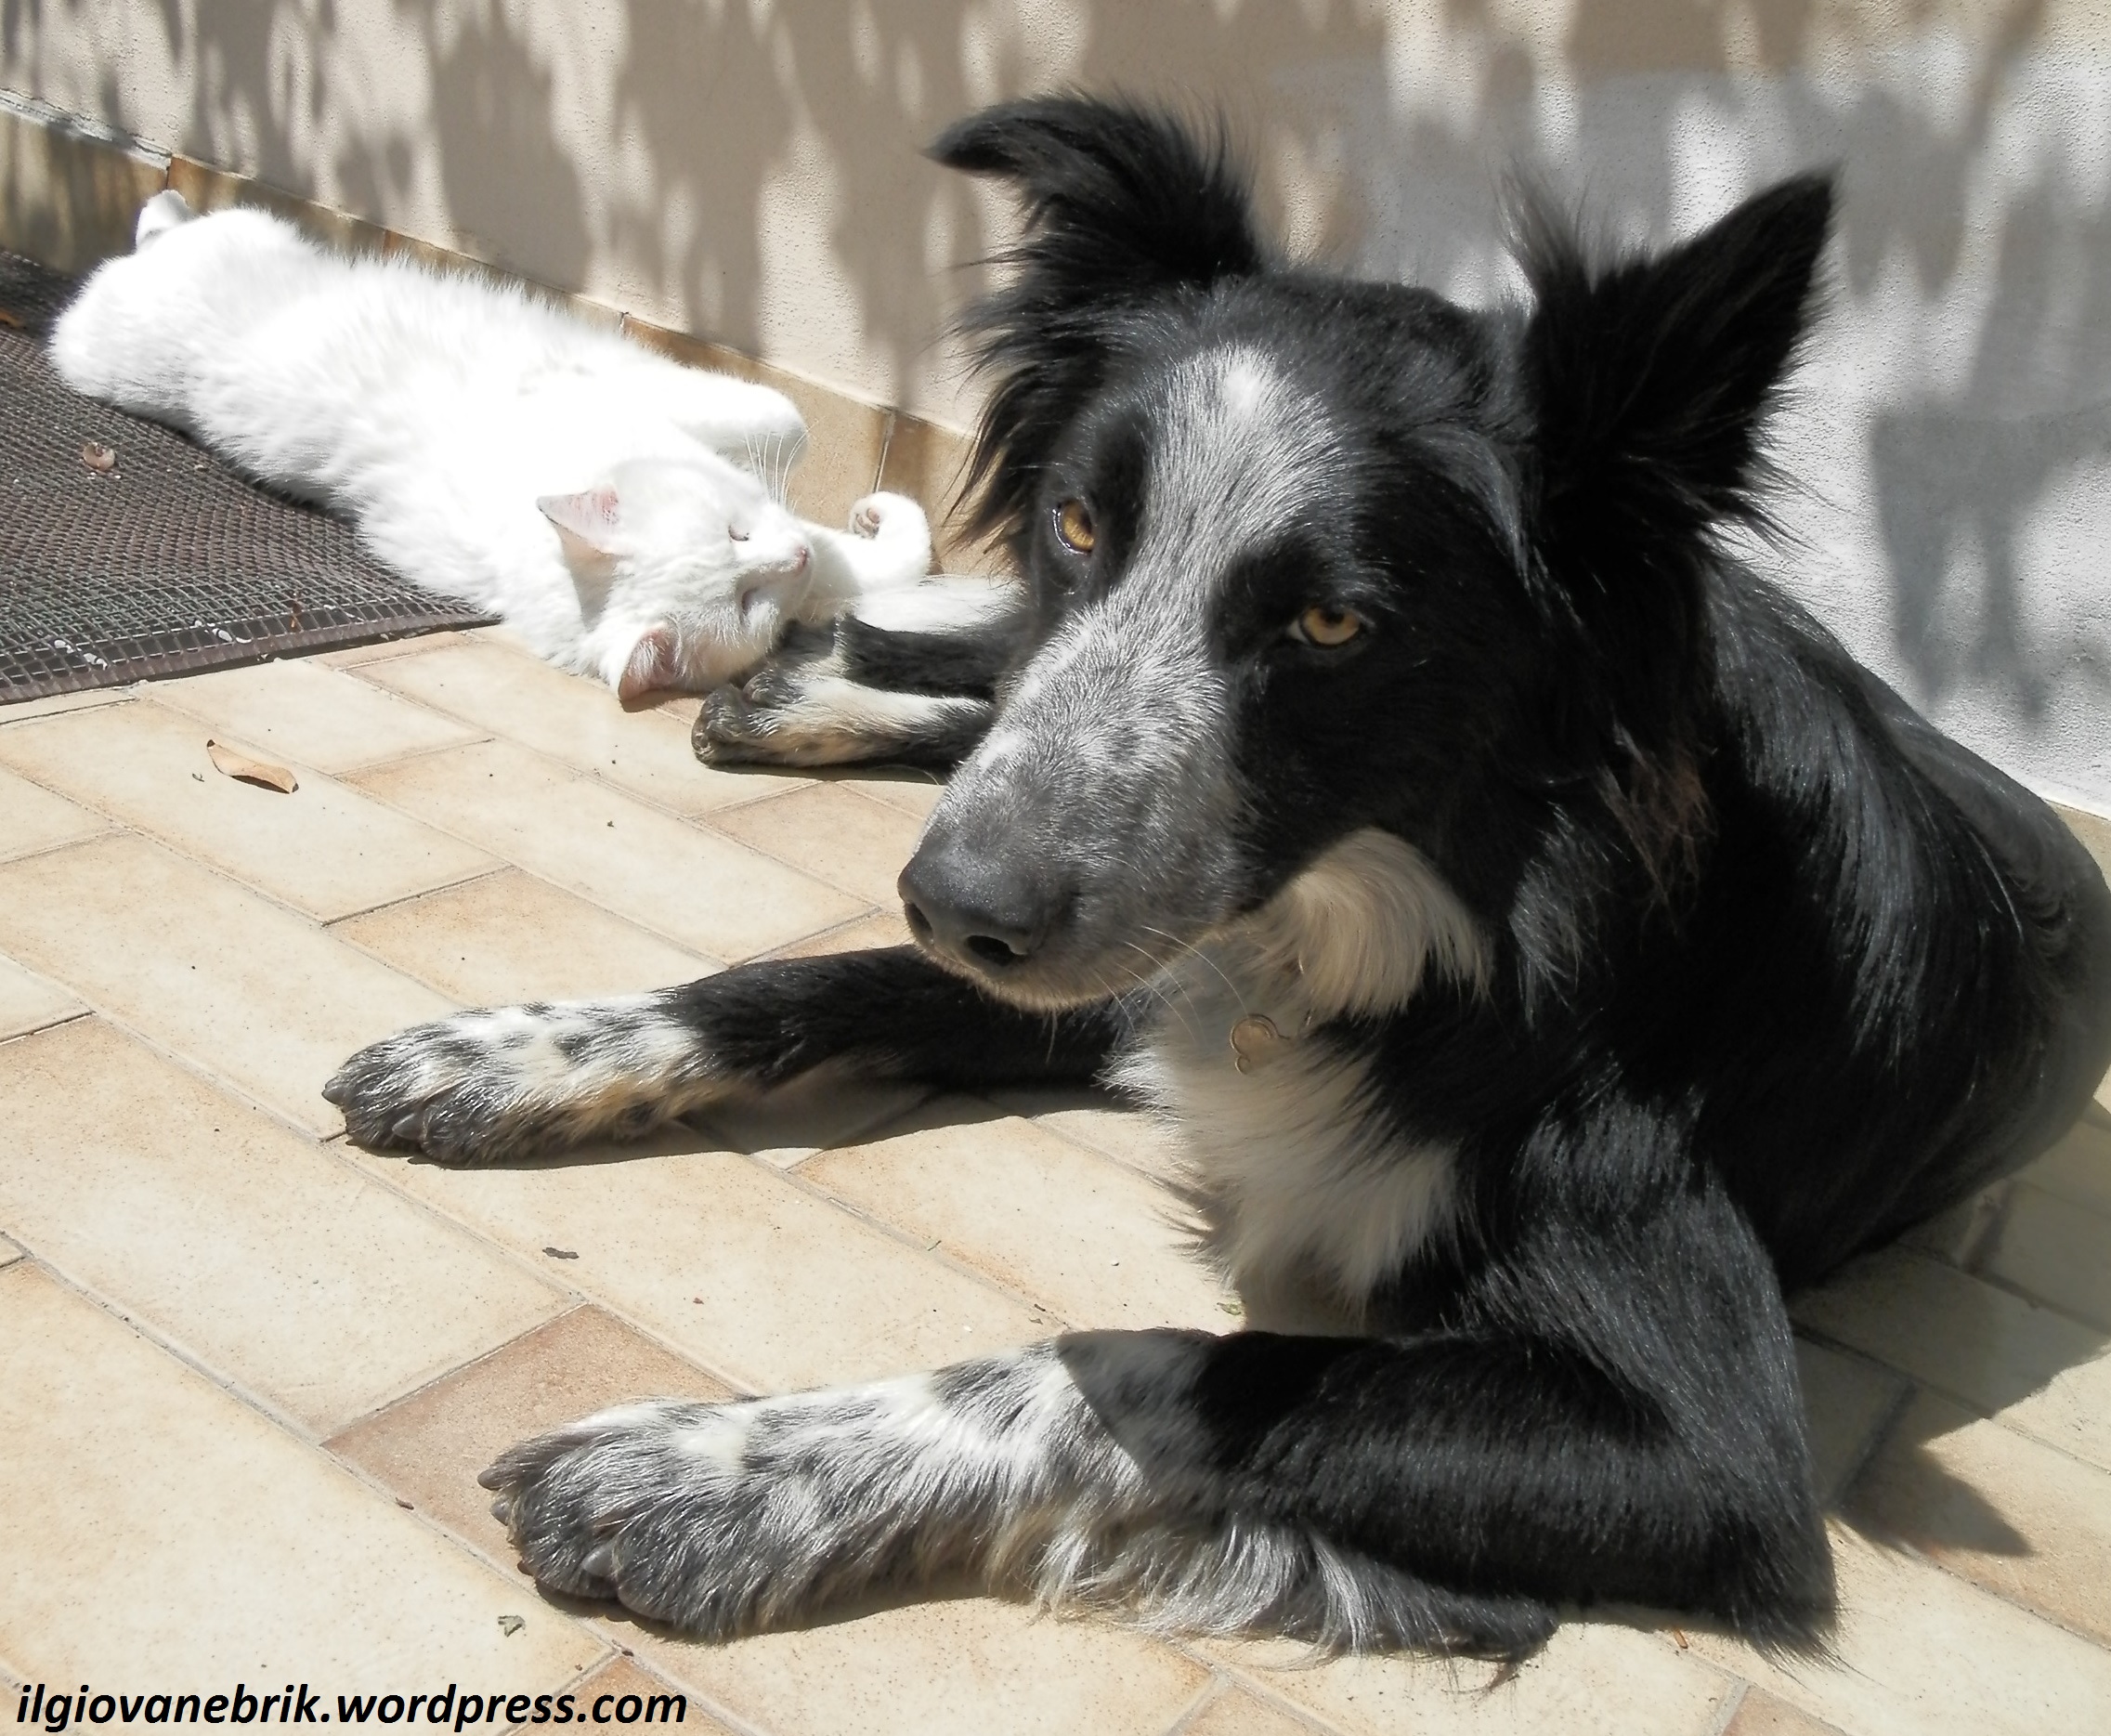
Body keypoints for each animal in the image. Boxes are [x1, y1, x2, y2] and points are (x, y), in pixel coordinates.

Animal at [51, 190, 934, 698]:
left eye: (736, 533)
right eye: (745, 600)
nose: (792, 560)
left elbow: (858, 530)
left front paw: (857, 526)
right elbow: (790, 425)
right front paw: (862, 519)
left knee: (162, 223)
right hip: (193, 269)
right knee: (162, 227)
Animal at [325, 98, 2111, 1660]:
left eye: (1330, 622)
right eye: (1073, 523)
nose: (954, 898)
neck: (1435, 908)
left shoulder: (1699, 1453)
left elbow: (1148, 1367)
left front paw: (718, 1474)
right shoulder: (1136, 931)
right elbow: (804, 974)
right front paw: (500, 1052)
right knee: (975, 689)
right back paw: (799, 699)